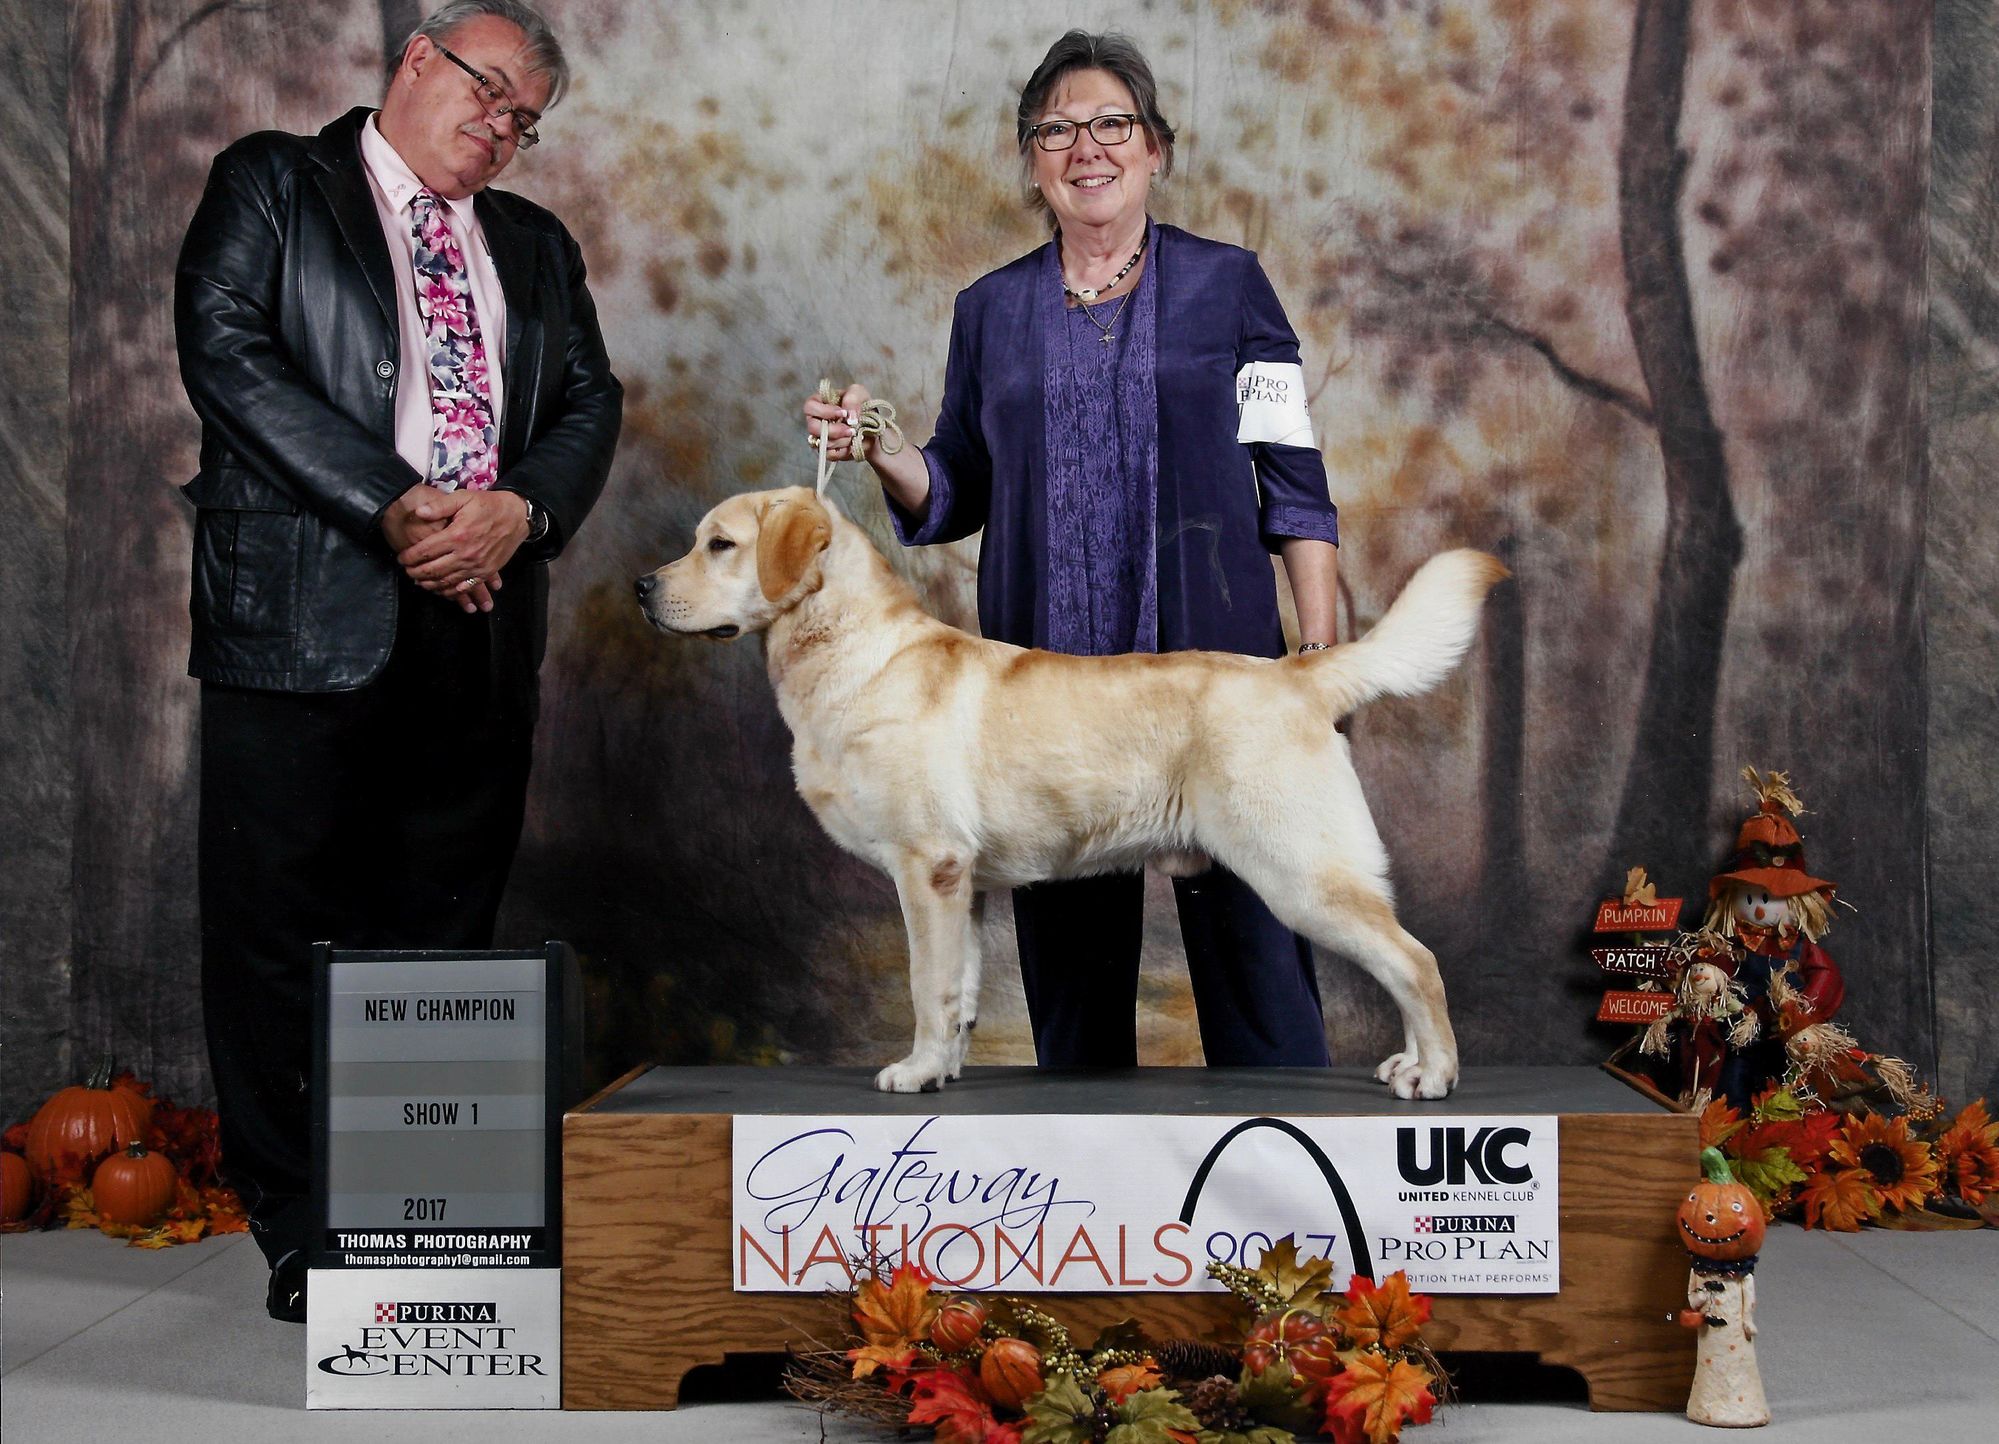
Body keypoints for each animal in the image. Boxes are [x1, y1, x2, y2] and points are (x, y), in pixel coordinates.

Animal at [635, 490, 1503, 1096]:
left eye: (719, 545)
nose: (642, 586)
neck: (849, 649)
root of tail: (1298, 673)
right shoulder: (963, 883)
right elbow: (957, 993)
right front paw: (943, 1069)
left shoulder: (927, 868)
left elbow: (924, 986)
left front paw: (912, 1072)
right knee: (1402, 960)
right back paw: (1409, 1065)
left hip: (1299, 876)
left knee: (1415, 961)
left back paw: (1434, 1075)